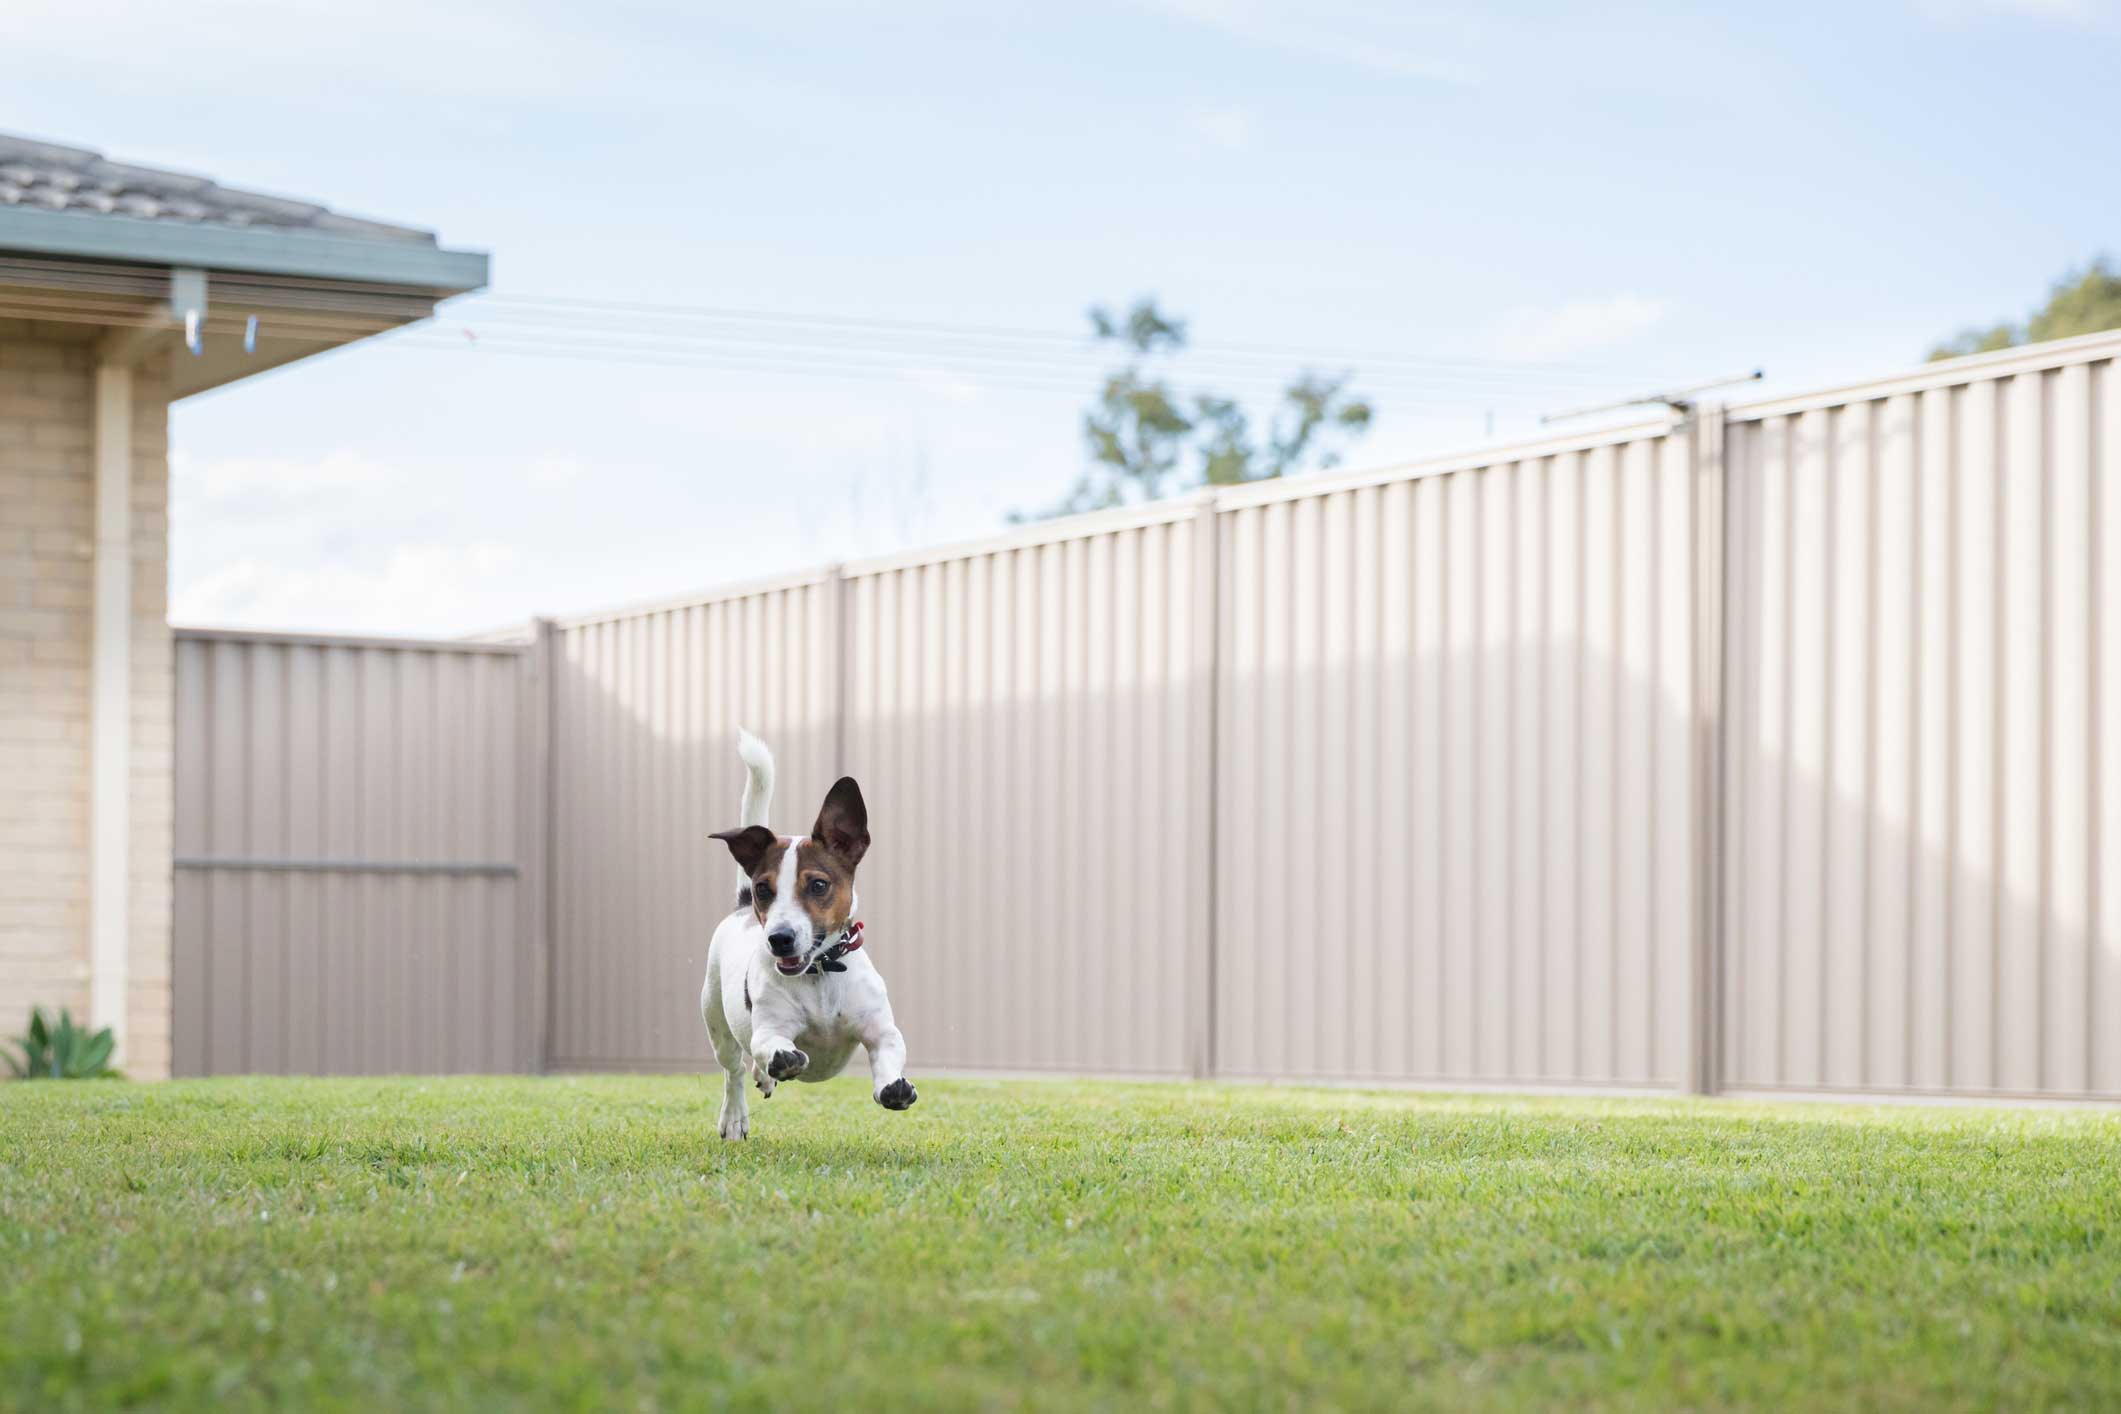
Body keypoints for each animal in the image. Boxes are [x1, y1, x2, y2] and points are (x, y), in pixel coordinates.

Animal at [699, 729, 916, 1136]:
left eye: (818, 885)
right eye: (764, 888)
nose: (779, 938)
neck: (820, 973)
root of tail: (740, 908)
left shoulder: (881, 1031)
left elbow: (888, 1054)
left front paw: (893, 1086)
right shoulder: (769, 1030)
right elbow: (773, 1047)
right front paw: (782, 1061)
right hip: (716, 1021)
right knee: (734, 1070)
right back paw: (735, 1115)